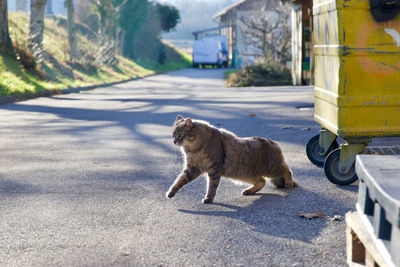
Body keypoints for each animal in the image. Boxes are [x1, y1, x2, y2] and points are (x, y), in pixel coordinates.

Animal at [164, 115, 298, 205]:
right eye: (173, 135)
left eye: (180, 135)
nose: (174, 141)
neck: (195, 149)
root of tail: (274, 143)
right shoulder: (192, 168)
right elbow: (179, 181)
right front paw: (170, 193)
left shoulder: (214, 169)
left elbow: (211, 187)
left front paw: (208, 199)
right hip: (249, 175)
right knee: (262, 181)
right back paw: (248, 191)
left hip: (272, 169)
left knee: (287, 170)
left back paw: (289, 183)